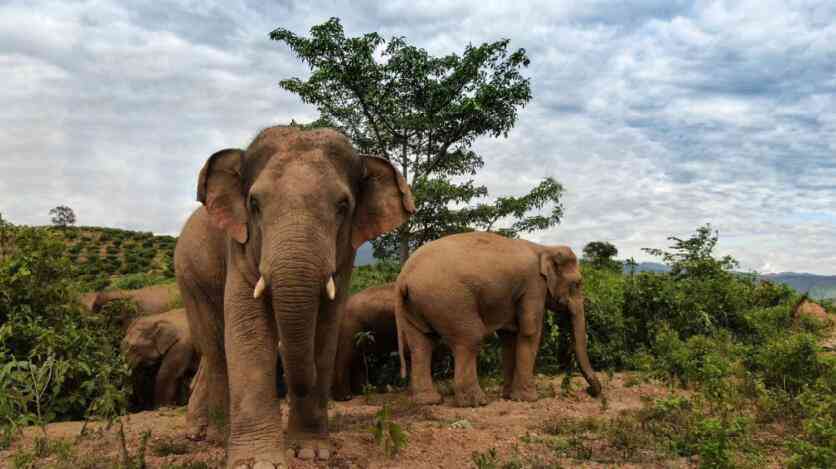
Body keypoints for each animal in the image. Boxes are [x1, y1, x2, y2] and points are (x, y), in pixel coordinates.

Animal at [176, 125, 414, 468]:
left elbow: (325, 330)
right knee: (215, 347)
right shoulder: (240, 245)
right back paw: (213, 435)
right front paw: (257, 462)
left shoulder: (345, 257)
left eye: (343, 205)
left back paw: (205, 431)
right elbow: (248, 328)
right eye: (254, 203)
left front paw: (311, 452)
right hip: (190, 274)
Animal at [394, 232, 600, 408]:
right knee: (469, 338)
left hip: (415, 306)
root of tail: (403, 277)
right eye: (577, 283)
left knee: (421, 345)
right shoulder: (534, 286)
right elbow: (530, 331)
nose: (591, 391)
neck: (544, 248)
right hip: (449, 301)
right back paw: (475, 402)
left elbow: (509, 336)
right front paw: (528, 399)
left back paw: (429, 401)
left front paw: (509, 396)